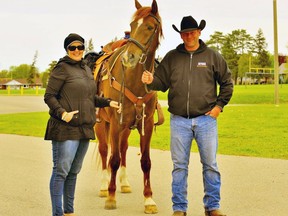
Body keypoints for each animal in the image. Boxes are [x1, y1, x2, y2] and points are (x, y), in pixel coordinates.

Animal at [94, 0, 162, 213]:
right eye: (132, 26)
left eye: (149, 27)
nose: (128, 58)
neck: (134, 80)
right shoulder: (116, 122)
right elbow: (113, 159)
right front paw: (111, 196)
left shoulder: (145, 123)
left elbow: (145, 161)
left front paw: (149, 199)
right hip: (102, 124)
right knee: (105, 151)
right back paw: (103, 186)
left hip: (126, 128)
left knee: (122, 149)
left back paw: (123, 183)